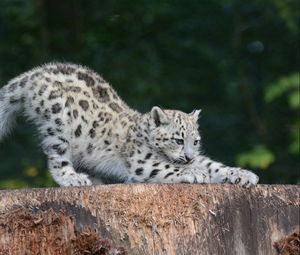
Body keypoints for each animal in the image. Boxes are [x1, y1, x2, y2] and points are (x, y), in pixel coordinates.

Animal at [0, 63, 258, 187]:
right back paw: (73, 178)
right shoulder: (142, 162)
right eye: (177, 139)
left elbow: (214, 165)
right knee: (57, 157)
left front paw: (243, 175)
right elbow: (168, 168)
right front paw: (194, 173)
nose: (189, 157)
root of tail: (34, 73)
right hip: (57, 122)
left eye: (195, 141)